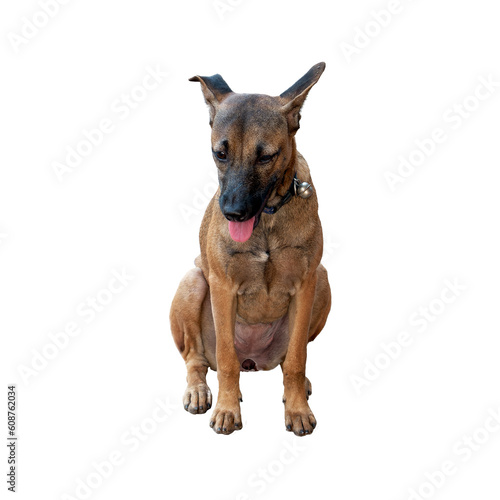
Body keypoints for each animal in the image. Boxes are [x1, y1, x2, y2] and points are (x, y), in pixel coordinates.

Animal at [172, 62, 332, 436]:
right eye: (220, 153)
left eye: (266, 157)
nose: (233, 212)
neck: (268, 220)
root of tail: (254, 360)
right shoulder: (222, 286)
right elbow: (227, 360)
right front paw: (227, 410)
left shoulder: (306, 284)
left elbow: (297, 358)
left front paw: (297, 409)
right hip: (193, 282)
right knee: (196, 360)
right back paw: (199, 391)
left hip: (323, 280)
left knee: (290, 359)